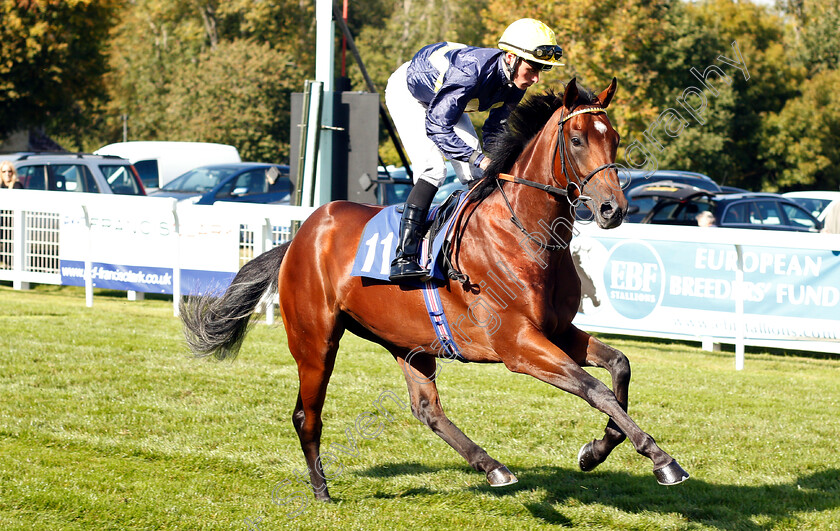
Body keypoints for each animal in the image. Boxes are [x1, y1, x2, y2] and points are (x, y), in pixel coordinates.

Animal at [182, 77, 688, 500]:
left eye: (614, 137)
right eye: (578, 138)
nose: (612, 209)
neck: (524, 232)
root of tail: (302, 234)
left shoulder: (558, 331)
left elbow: (619, 368)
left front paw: (595, 451)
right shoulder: (519, 345)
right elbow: (594, 388)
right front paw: (662, 458)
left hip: (407, 343)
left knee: (426, 408)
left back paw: (492, 466)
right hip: (316, 340)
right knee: (308, 415)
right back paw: (322, 491)